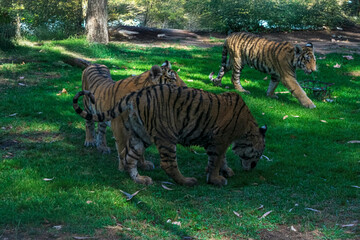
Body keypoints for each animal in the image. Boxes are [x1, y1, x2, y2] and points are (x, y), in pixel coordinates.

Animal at [73, 84, 266, 188]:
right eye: (258, 154)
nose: (253, 167)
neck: (247, 127)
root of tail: (137, 93)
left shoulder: (218, 142)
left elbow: (221, 159)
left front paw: (225, 171)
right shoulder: (219, 140)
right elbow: (216, 160)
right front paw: (216, 179)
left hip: (140, 136)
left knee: (128, 157)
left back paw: (140, 179)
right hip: (167, 136)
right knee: (168, 164)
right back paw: (187, 181)